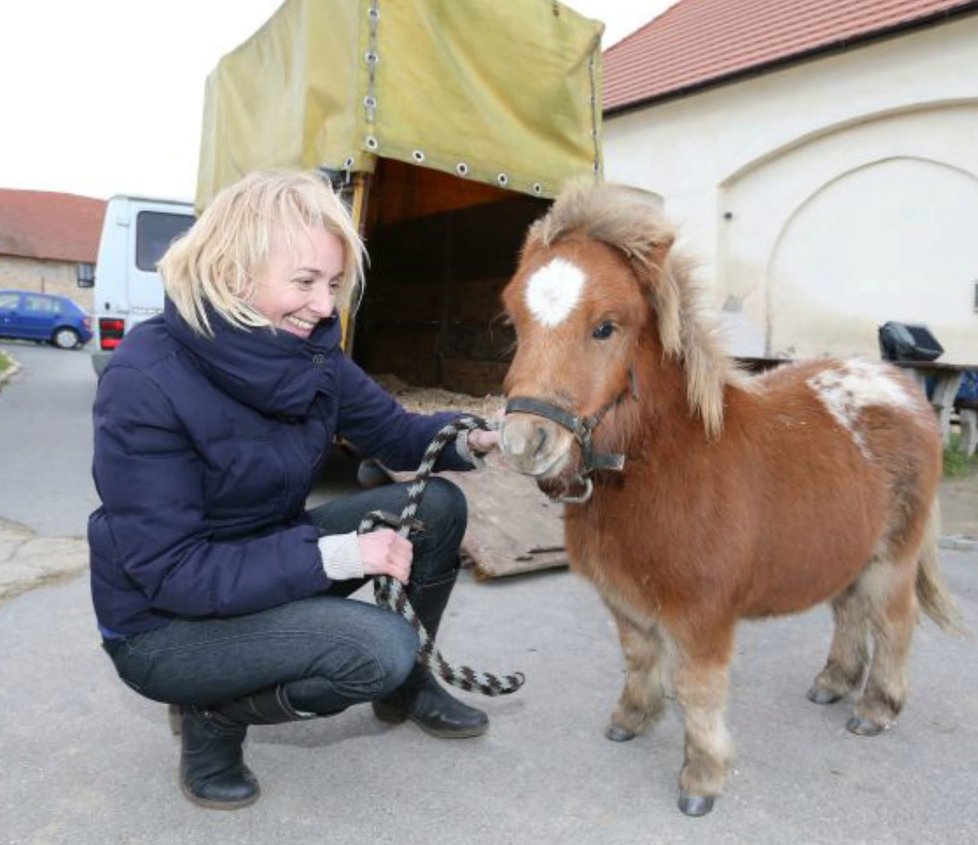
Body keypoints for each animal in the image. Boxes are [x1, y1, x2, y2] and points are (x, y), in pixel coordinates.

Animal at [500, 181, 956, 816]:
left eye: (605, 327)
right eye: (515, 320)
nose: (525, 442)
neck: (665, 463)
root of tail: (901, 387)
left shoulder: (702, 615)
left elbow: (698, 689)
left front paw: (701, 779)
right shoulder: (624, 600)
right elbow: (639, 658)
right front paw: (632, 719)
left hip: (893, 558)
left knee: (894, 621)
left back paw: (876, 707)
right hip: (848, 551)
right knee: (849, 612)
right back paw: (834, 682)